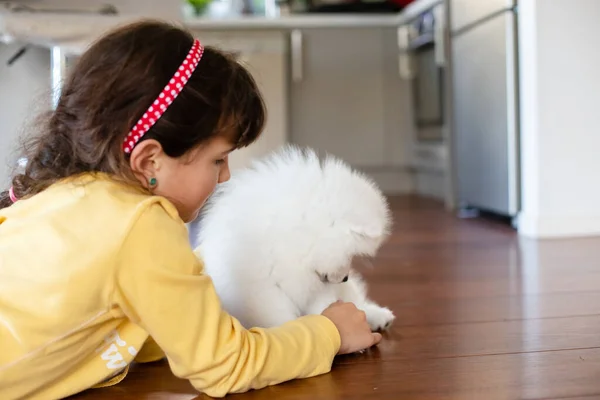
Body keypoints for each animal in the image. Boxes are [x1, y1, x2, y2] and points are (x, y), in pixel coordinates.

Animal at [195, 145, 396, 332]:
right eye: (351, 254)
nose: (345, 278)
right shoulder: (264, 291)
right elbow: (282, 317)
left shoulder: (316, 284)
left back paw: (378, 316)